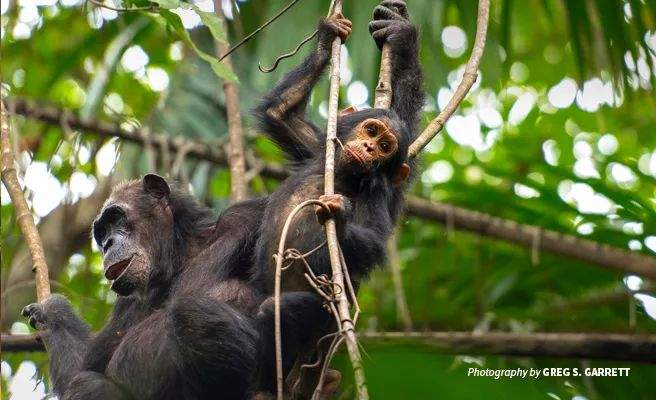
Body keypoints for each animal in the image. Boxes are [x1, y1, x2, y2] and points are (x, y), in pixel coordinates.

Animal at [21, 176, 272, 400]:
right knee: (85, 384)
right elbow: (81, 369)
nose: (107, 244)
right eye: (102, 232)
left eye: (116, 218)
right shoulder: (123, 307)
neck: (177, 259)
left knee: (191, 310)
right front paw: (50, 312)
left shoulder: (244, 216)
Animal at [251, 0, 426, 394]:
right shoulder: (315, 145)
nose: (369, 148)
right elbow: (280, 114)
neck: (347, 175)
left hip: (321, 320)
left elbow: (374, 239)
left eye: (385, 147)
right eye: (371, 129)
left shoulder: (381, 194)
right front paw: (332, 36)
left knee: (275, 313)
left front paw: (340, 216)